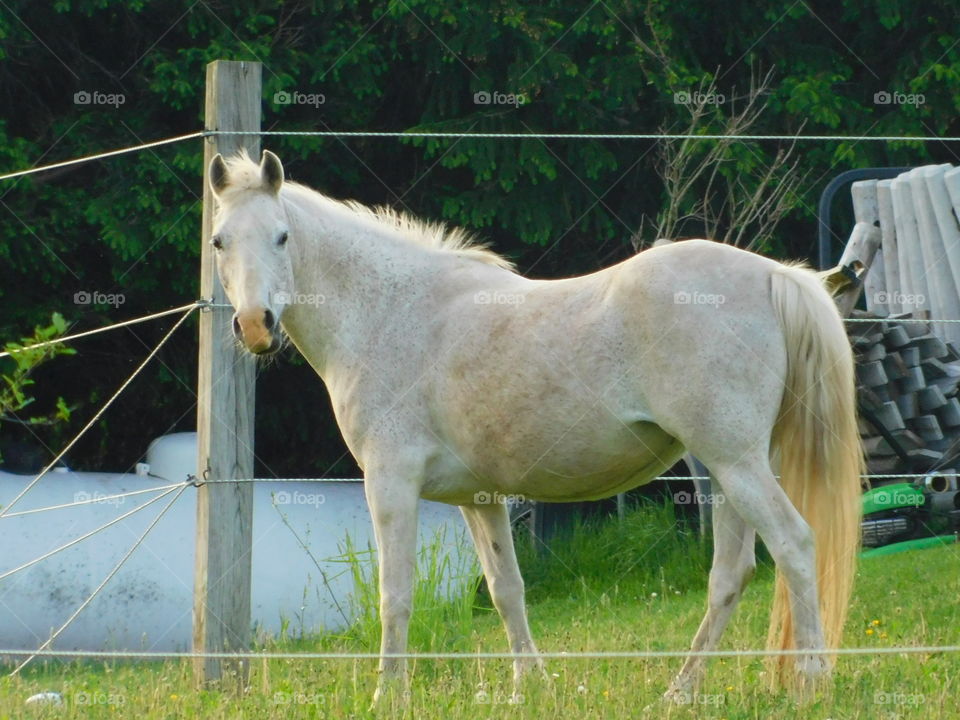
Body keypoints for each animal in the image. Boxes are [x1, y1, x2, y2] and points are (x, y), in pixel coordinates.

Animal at [206, 149, 862, 704]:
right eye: (219, 242)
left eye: (282, 237)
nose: (256, 325)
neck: (391, 310)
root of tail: (775, 276)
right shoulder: (479, 499)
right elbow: (507, 590)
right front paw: (531, 685)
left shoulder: (391, 484)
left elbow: (395, 595)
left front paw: (387, 696)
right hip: (727, 470)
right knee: (731, 574)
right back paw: (680, 692)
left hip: (737, 464)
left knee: (795, 545)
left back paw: (811, 682)